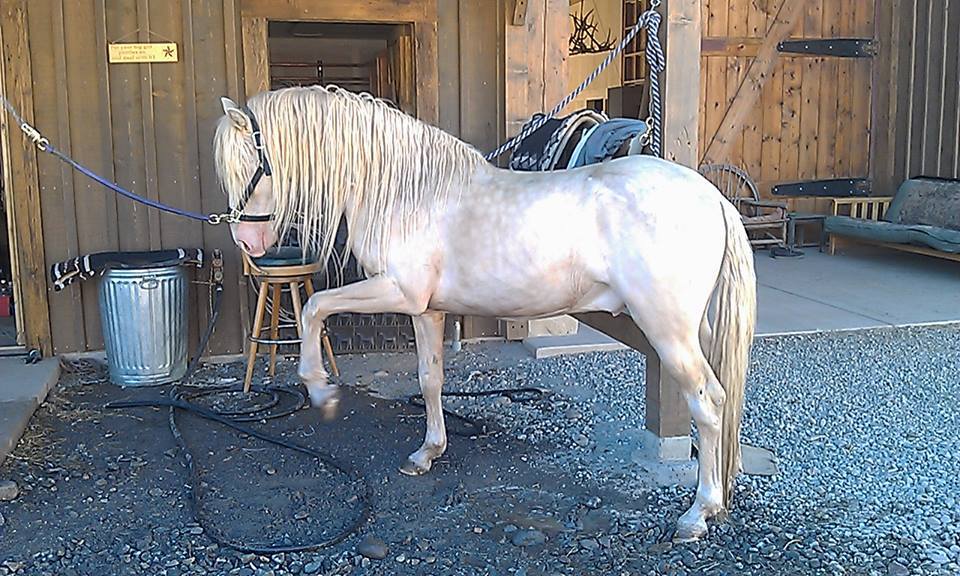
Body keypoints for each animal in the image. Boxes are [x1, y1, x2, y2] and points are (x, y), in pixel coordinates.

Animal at [213, 85, 756, 540]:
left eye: (248, 166)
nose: (247, 243)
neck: (409, 190)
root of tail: (711, 197)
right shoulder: (425, 310)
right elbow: (429, 378)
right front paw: (427, 453)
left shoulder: (396, 292)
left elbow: (314, 309)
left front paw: (320, 388)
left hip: (668, 331)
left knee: (708, 404)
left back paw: (697, 513)